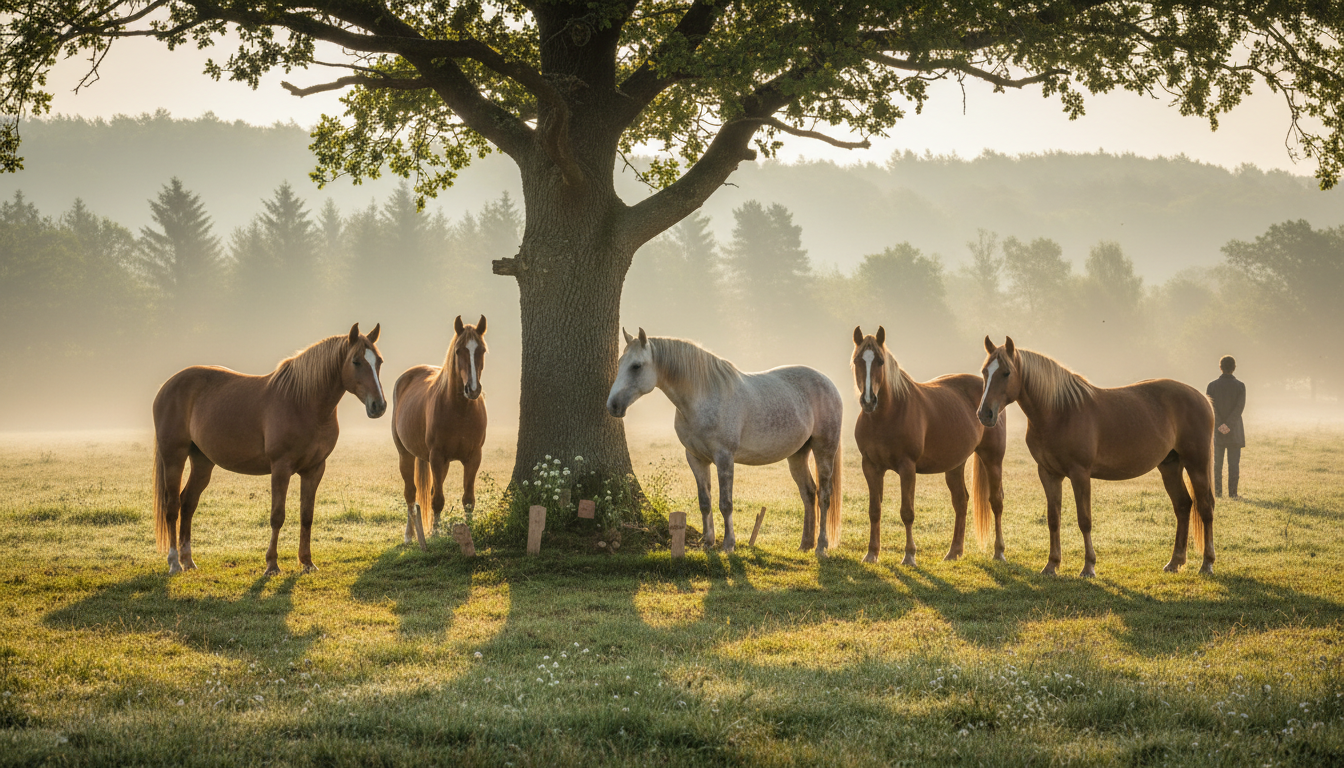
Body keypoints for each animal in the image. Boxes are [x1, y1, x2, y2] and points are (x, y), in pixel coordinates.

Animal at [152, 323, 387, 576]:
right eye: (356, 361)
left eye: (379, 361)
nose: (379, 406)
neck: (303, 402)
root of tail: (166, 386)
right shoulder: (281, 468)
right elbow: (277, 516)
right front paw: (272, 564)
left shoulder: (314, 469)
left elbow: (307, 516)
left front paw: (307, 562)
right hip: (174, 457)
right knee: (172, 506)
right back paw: (174, 562)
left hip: (203, 462)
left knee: (188, 503)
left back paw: (188, 561)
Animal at [391, 315, 488, 544]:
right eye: (459, 350)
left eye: (481, 350)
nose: (473, 389)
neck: (460, 410)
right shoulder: (437, 457)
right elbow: (437, 500)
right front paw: (435, 533)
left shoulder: (474, 457)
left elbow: (468, 499)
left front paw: (469, 528)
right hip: (406, 455)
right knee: (411, 494)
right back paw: (409, 535)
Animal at [606, 329, 844, 557]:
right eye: (620, 362)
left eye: (636, 366)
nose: (613, 405)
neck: (703, 397)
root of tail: (829, 383)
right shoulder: (696, 458)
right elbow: (704, 501)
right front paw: (708, 542)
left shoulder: (724, 458)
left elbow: (725, 503)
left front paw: (729, 545)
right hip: (797, 454)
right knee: (808, 493)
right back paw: (805, 544)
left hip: (824, 450)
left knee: (824, 495)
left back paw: (821, 547)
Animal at [852, 326, 1008, 566]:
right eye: (857, 360)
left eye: (880, 361)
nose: (869, 401)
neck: (887, 415)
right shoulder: (870, 467)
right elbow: (874, 510)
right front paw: (871, 554)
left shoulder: (907, 468)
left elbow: (907, 512)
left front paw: (909, 555)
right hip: (955, 465)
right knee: (961, 502)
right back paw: (954, 552)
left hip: (993, 459)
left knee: (996, 501)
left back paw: (998, 552)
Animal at [977, 337, 1216, 576]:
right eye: (985, 372)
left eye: (1006, 372)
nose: (984, 414)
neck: (1059, 413)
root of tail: (1202, 398)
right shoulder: (1048, 474)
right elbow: (1053, 519)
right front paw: (1052, 564)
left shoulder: (1080, 474)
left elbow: (1084, 520)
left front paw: (1088, 566)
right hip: (1170, 465)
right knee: (1183, 506)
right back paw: (1175, 562)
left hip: (1197, 464)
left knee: (1206, 508)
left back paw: (1207, 563)